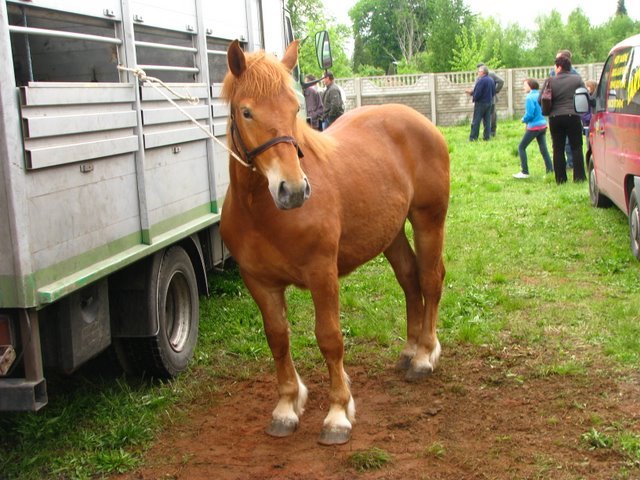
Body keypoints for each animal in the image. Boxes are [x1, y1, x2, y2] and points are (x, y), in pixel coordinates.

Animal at [220, 39, 450, 444]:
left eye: (295, 108)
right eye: (246, 111)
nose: (294, 190)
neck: (260, 213)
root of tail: (420, 121)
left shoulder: (321, 274)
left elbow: (329, 338)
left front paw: (338, 414)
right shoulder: (259, 282)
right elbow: (277, 338)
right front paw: (287, 406)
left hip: (428, 221)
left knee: (430, 280)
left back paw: (424, 355)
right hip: (390, 233)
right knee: (409, 280)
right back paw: (410, 350)